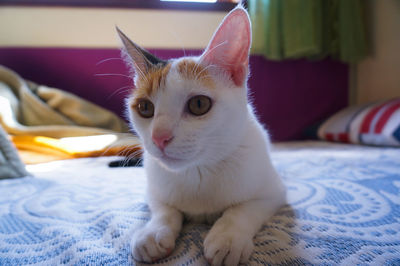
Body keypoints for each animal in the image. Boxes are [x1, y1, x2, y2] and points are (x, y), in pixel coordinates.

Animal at [117, 4, 286, 266]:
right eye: (145, 108)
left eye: (198, 104)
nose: (159, 137)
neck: (198, 171)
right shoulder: (154, 189)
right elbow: (165, 209)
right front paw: (153, 232)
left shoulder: (274, 192)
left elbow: (243, 209)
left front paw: (228, 237)